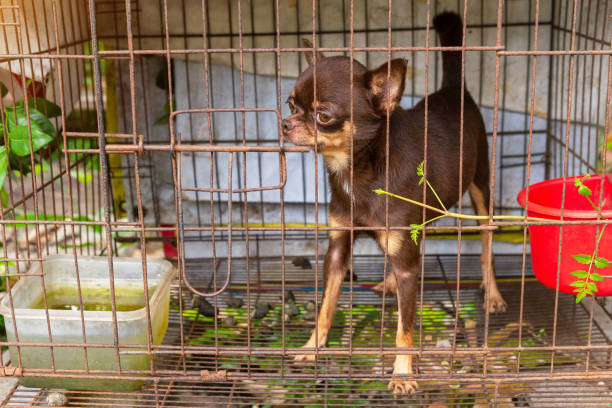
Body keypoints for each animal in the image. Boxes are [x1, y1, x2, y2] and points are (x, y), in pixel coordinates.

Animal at [282, 11, 506, 396]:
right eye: (291, 104)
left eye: (324, 116)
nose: (285, 124)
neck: (358, 171)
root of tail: (454, 91)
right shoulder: (338, 250)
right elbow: (326, 306)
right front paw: (313, 347)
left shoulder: (405, 259)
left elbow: (405, 329)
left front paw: (402, 373)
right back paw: (389, 282)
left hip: (480, 189)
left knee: (487, 245)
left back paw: (492, 294)